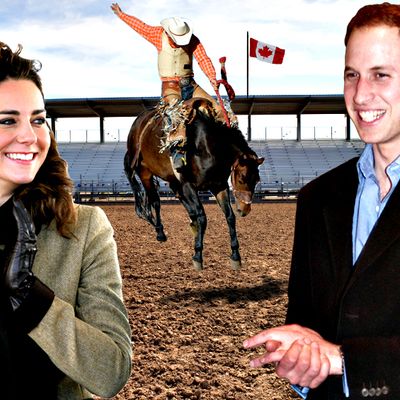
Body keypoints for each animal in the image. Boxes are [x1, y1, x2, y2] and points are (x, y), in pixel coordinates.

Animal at [123, 98, 264, 270]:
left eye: (257, 180)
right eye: (242, 177)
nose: (245, 209)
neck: (208, 146)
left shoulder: (219, 186)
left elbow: (229, 216)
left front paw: (235, 255)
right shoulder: (188, 185)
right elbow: (202, 216)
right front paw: (197, 255)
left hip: (172, 181)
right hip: (144, 172)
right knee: (155, 201)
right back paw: (160, 232)